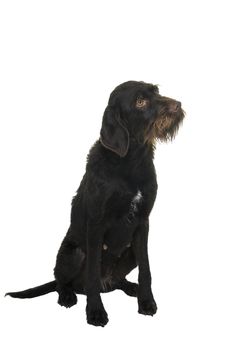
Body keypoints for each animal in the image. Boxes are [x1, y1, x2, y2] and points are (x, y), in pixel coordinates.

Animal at [4, 81, 185, 326]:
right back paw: (67, 296)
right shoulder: (96, 224)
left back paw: (130, 287)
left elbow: (146, 269)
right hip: (73, 253)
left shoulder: (143, 223)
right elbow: (91, 274)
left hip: (129, 252)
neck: (130, 161)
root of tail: (106, 282)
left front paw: (146, 302)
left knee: (118, 280)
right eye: (140, 101)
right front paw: (95, 312)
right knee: (62, 281)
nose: (178, 105)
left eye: (156, 91)